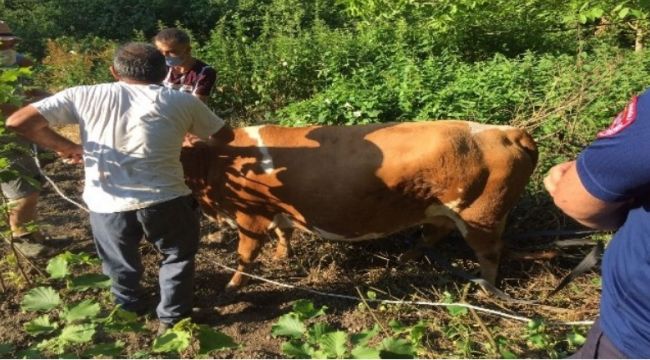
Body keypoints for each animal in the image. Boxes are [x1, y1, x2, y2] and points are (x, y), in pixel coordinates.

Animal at [181, 121, 536, 290]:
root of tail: (509, 132)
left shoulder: (250, 214)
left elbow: (245, 254)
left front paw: (233, 284)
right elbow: (284, 233)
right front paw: (282, 255)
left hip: (483, 217)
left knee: (489, 254)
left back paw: (486, 291)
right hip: (445, 210)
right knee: (434, 232)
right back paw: (406, 258)